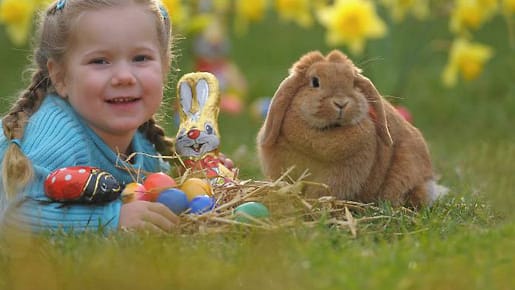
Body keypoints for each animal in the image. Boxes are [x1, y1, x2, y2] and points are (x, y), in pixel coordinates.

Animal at [258, 51, 448, 207]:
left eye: (353, 83)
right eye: (315, 82)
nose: (341, 103)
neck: (326, 132)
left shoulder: (341, 175)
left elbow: (322, 191)